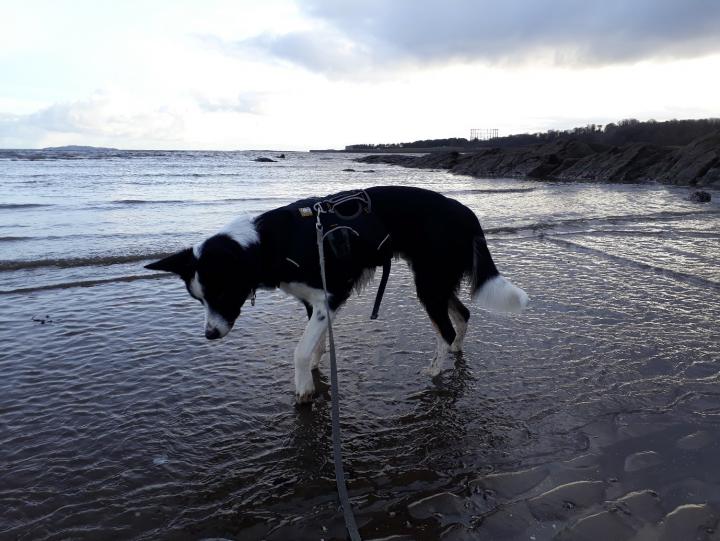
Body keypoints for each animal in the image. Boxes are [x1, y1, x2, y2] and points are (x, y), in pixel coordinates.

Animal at [146, 186, 528, 400]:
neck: (265, 245)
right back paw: (456, 351)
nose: (210, 334)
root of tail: (466, 211)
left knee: (445, 329)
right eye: (198, 299)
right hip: (436, 279)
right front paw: (316, 368)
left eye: (222, 292)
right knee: (462, 315)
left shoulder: (330, 297)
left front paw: (304, 388)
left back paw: (435, 372)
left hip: (430, 282)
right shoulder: (314, 303)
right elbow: (315, 343)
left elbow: (301, 349)